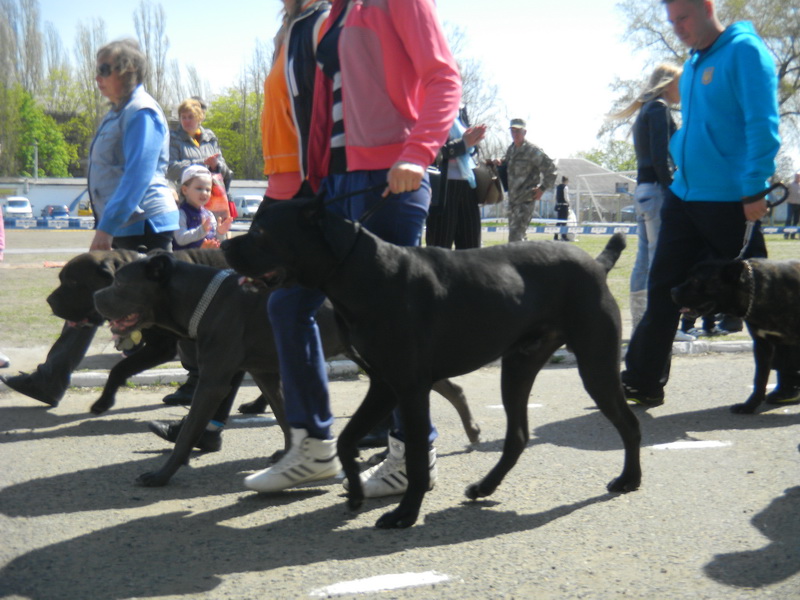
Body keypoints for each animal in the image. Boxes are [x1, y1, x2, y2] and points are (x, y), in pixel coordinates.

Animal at [93, 254, 481, 487]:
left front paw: (162, 474)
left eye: (119, 282)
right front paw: (291, 456)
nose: (96, 299)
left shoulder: (214, 379)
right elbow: (282, 415)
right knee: (450, 387)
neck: (200, 297)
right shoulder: (266, 374)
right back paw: (468, 430)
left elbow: (189, 431)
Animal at [222, 196, 641, 529]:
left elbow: (418, 458)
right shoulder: (383, 384)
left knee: (629, 424)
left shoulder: (408, 389)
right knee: (518, 436)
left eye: (261, 232)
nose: (224, 244)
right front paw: (356, 492)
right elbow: (345, 438)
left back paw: (629, 480)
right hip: (518, 367)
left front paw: (405, 513)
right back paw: (485, 486)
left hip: (595, 366)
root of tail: (597, 263)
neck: (358, 271)